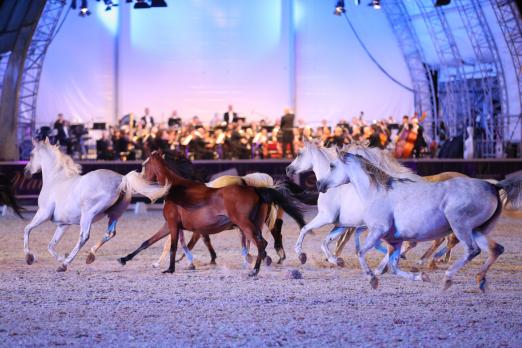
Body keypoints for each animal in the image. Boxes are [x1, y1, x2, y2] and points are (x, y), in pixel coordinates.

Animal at [23, 139, 169, 272]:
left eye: (31, 154)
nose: (26, 171)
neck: (56, 180)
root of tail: (122, 179)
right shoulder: (63, 224)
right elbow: (50, 245)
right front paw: (60, 257)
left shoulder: (43, 213)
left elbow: (27, 229)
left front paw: (29, 257)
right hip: (114, 214)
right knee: (110, 233)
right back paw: (89, 256)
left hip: (87, 215)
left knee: (84, 237)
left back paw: (65, 264)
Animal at [117, 151, 304, 276]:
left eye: (144, 165)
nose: (138, 177)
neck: (175, 188)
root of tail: (254, 188)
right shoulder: (169, 225)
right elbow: (147, 242)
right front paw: (124, 259)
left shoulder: (173, 225)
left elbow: (173, 247)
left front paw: (170, 268)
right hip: (254, 224)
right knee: (263, 242)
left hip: (245, 224)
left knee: (261, 242)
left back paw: (256, 269)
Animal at [314, 147, 516, 290]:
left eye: (332, 166)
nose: (319, 184)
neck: (377, 192)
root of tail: (494, 186)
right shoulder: (394, 240)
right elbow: (394, 266)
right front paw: (421, 277)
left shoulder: (378, 231)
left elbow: (361, 252)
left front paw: (372, 279)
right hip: (477, 230)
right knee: (496, 249)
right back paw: (479, 279)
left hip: (461, 226)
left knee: (471, 250)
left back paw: (447, 277)